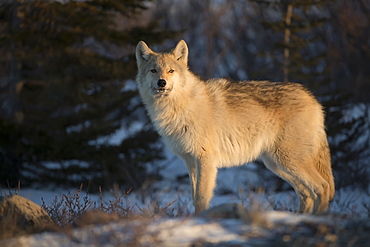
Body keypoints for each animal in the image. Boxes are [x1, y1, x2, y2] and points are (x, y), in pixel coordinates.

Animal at [136, 39, 336, 213]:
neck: (179, 106)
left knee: (322, 186)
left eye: (171, 71)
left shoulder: (205, 159)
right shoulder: (189, 161)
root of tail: (312, 98)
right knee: (306, 193)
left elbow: (201, 198)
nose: (162, 82)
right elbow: (194, 197)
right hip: (277, 164)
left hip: (288, 161)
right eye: (153, 70)